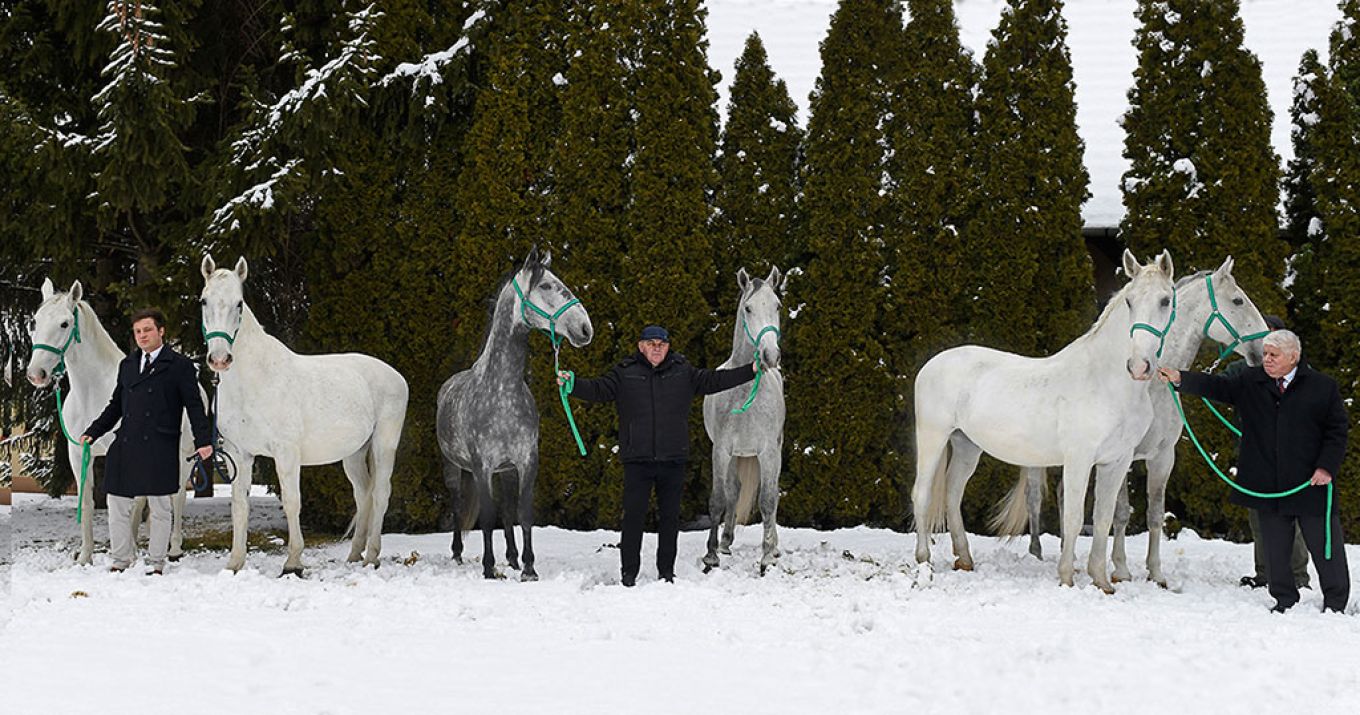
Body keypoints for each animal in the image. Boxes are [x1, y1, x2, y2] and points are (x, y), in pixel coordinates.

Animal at [198, 255, 408, 573]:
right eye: (204, 301)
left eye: (239, 303)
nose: (220, 359)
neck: (255, 379)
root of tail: (395, 376)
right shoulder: (239, 453)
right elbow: (239, 505)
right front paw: (234, 563)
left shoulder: (286, 452)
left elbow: (292, 501)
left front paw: (293, 561)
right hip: (354, 453)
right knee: (363, 496)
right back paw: (353, 555)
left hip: (384, 445)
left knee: (381, 495)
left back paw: (371, 555)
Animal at [432, 248, 587, 581]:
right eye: (546, 286)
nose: (585, 328)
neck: (501, 392)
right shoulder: (482, 466)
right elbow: (488, 517)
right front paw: (489, 568)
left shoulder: (526, 462)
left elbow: (522, 514)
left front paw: (528, 568)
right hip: (454, 468)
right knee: (458, 504)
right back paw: (457, 553)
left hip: (505, 472)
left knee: (506, 512)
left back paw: (513, 558)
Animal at [701, 269, 788, 576]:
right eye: (748, 308)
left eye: (777, 306)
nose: (771, 356)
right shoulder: (721, 450)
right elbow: (718, 498)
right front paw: (711, 555)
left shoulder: (768, 451)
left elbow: (768, 500)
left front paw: (766, 557)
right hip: (736, 456)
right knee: (733, 491)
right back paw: (726, 541)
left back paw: (774, 548)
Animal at [919, 252, 1175, 595]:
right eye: (1130, 301)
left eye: (1165, 300)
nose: (1138, 366)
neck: (1105, 381)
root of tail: (933, 363)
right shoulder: (1079, 460)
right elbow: (1074, 518)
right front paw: (1066, 577)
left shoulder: (1117, 462)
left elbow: (1103, 518)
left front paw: (1101, 581)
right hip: (932, 438)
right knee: (921, 494)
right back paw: (923, 560)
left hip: (966, 446)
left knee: (952, 495)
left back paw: (965, 559)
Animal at [995, 258, 1267, 589]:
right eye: (1238, 301)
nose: (1263, 347)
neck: (1153, 388)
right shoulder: (1124, 456)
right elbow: (1121, 513)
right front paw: (1121, 569)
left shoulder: (1162, 456)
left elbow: (1154, 514)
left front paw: (1156, 573)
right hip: (1038, 460)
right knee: (1035, 497)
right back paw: (1038, 552)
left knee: (1061, 495)